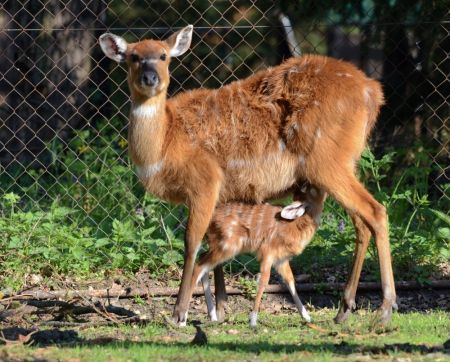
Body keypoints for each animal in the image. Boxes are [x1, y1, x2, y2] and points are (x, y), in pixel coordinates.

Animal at [192, 182, 326, 326]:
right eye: (311, 188)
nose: (305, 183)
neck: (294, 226)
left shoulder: (281, 259)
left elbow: (290, 280)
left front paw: (307, 317)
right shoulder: (267, 252)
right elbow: (263, 281)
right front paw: (253, 320)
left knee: (201, 259)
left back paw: (212, 316)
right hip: (227, 245)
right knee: (199, 265)